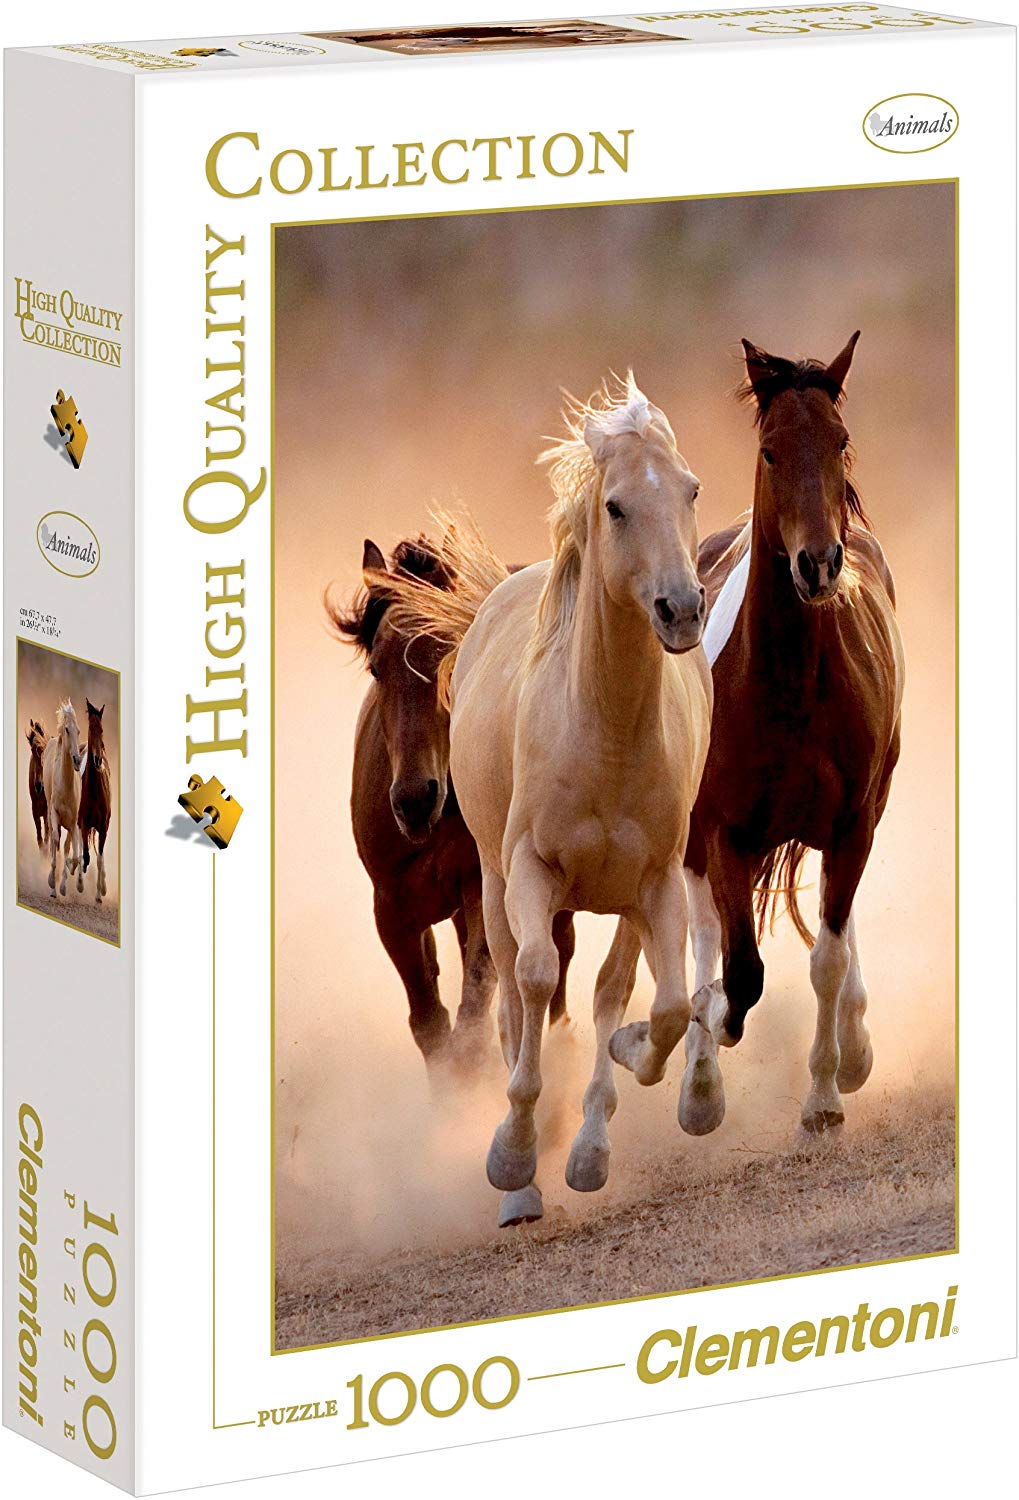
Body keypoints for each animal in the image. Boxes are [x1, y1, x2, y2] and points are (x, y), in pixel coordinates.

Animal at [329, 533, 576, 1081]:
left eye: (451, 653)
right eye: (377, 667)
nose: (414, 800)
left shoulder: (480, 888)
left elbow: (472, 1015)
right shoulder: (392, 908)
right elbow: (430, 1023)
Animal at [384, 378, 712, 1226]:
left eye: (690, 490)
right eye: (617, 506)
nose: (681, 610)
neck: (604, 729)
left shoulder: (655, 882)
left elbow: (659, 1006)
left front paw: (617, 1094)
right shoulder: (529, 874)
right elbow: (532, 983)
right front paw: (512, 1158)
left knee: (609, 992)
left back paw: (589, 1143)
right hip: (495, 888)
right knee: (512, 997)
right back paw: (522, 1178)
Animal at [631, 333, 903, 1138]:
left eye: (839, 441)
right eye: (771, 450)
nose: (818, 564)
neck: (790, 685)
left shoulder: (851, 825)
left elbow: (826, 958)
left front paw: (825, 1094)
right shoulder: (724, 831)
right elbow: (738, 973)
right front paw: (700, 1054)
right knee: (704, 937)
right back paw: (696, 1077)